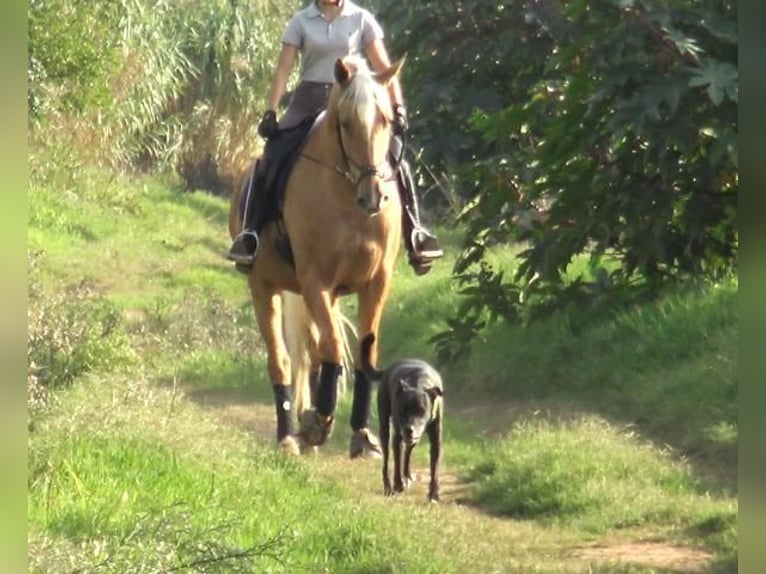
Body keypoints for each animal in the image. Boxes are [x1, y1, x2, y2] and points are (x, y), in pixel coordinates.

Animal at [228, 54, 404, 460]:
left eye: (386, 120)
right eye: (346, 122)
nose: (373, 195)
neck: (348, 200)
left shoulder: (375, 283)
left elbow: (363, 355)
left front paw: (362, 436)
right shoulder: (315, 282)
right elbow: (332, 348)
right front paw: (316, 425)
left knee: (310, 351)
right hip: (263, 285)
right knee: (282, 359)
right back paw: (289, 435)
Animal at [360, 332, 444, 504]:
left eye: (421, 411)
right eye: (401, 410)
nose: (409, 429)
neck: (419, 383)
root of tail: (388, 370)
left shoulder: (436, 439)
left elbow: (435, 468)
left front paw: (434, 494)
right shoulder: (398, 435)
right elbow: (397, 460)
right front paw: (398, 484)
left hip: (413, 438)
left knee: (408, 453)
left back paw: (407, 476)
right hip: (385, 427)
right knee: (387, 458)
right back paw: (389, 486)